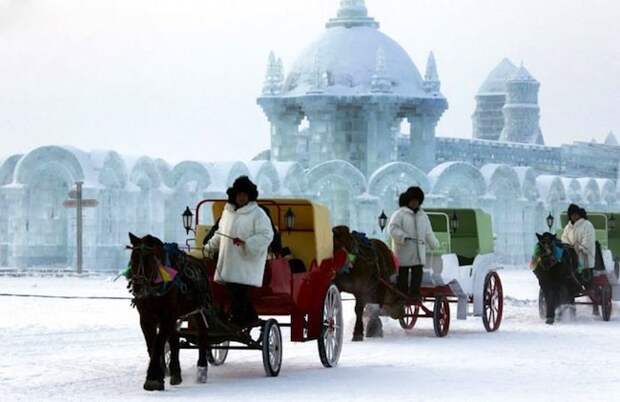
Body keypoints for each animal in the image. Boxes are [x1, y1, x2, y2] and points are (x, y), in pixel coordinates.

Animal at [126, 234, 213, 392]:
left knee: (202, 334)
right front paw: (160, 374)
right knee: (174, 339)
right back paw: (175, 372)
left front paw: (153, 378)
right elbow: (152, 345)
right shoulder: (146, 319)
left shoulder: (166, 316)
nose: (138, 288)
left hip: (198, 310)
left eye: (150, 261)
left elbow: (159, 343)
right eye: (133, 259)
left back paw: (202, 368)